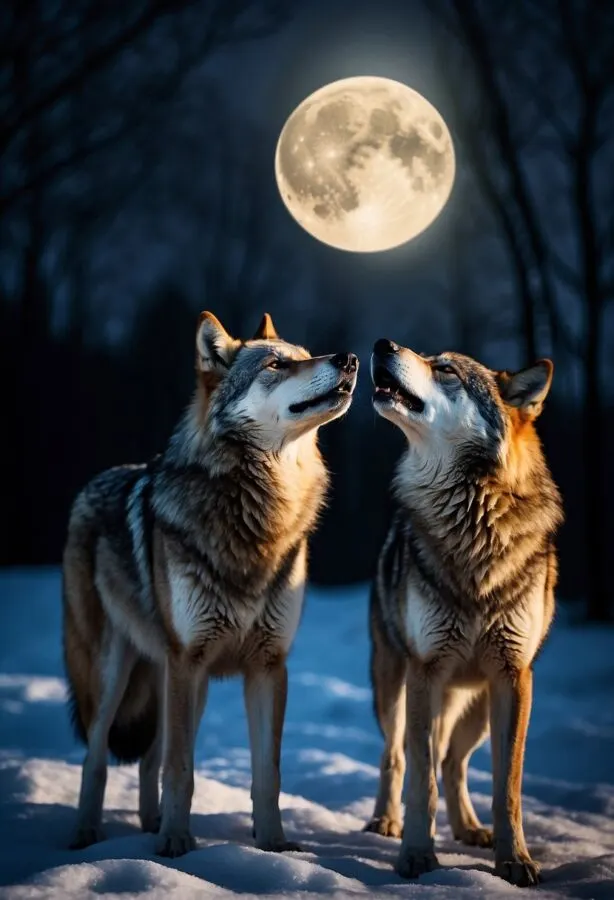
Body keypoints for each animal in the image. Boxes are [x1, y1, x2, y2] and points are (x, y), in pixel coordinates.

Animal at [62, 311, 358, 857]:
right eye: (277, 365)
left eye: (306, 354)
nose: (349, 359)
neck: (259, 515)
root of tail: (94, 483)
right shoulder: (190, 660)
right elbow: (182, 768)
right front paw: (177, 842)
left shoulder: (268, 665)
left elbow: (267, 773)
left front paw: (274, 846)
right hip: (119, 673)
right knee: (98, 755)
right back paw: (88, 833)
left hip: (173, 680)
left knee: (149, 758)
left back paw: (149, 824)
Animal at [365, 338, 563, 887]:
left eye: (446, 369)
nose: (382, 344)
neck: (473, 523)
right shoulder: (426, 670)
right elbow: (420, 779)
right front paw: (415, 854)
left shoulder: (514, 678)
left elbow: (507, 786)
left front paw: (514, 859)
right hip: (396, 689)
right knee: (396, 757)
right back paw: (385, 821)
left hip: (474, 705)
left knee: (453, 761)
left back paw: (470, 828)